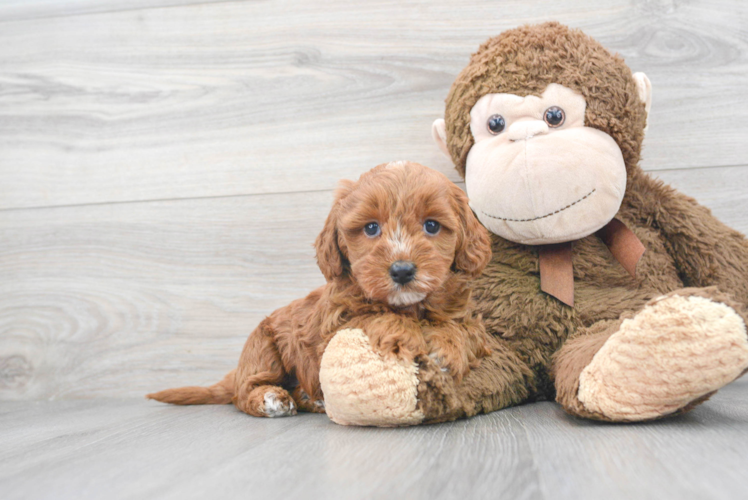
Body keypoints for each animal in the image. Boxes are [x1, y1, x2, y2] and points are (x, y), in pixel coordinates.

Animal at [149, 161, 494, 418]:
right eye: (371, 228)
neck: (409, 305)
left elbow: (466, 330)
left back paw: (308, 398)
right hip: (263, 348)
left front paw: (446, 347)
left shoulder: (468, 318)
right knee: (244, 392)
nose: (402, 270)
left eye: (432, 225)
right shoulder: (332, 326)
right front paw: (404, 334)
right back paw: (272, 398)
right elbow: (373, 315)